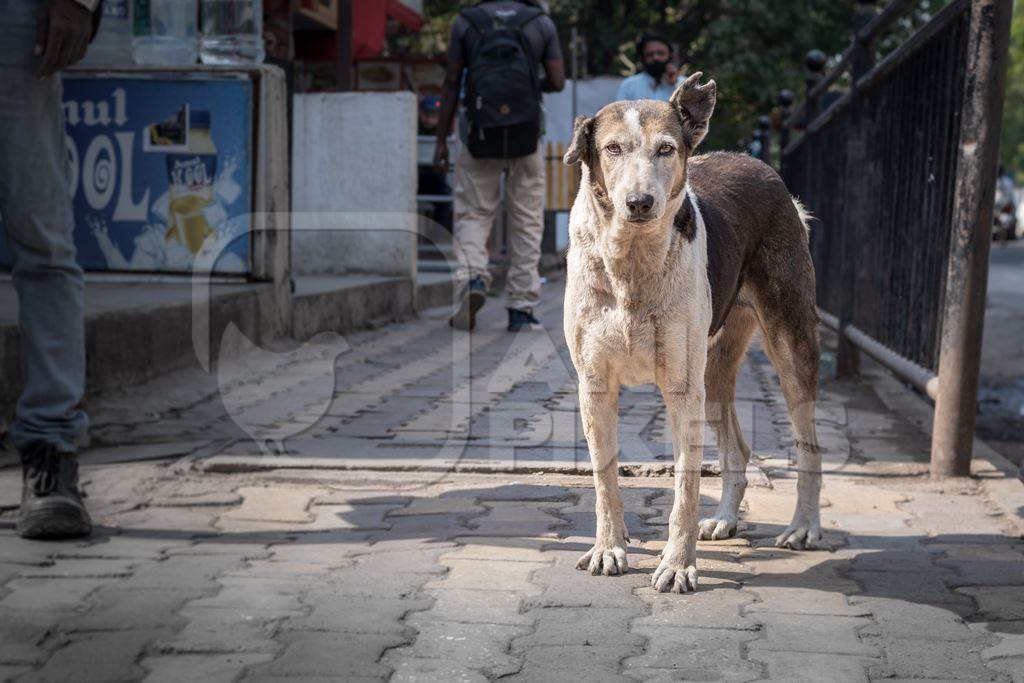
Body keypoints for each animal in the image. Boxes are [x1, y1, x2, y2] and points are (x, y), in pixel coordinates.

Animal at [565, 70, 819, 593]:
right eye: (612, 148)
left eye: (666, 149)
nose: (639, 202)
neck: (632, 263)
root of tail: (760, 166)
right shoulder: (594, 385)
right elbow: (604, 478)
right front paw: (608, 548)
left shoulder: (683, 389)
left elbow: (685, 484)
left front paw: (678, 565)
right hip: (714, 370)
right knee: (737, 448)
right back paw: (725, 519)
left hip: (789, 349)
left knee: (809, 446)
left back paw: (804, 527)